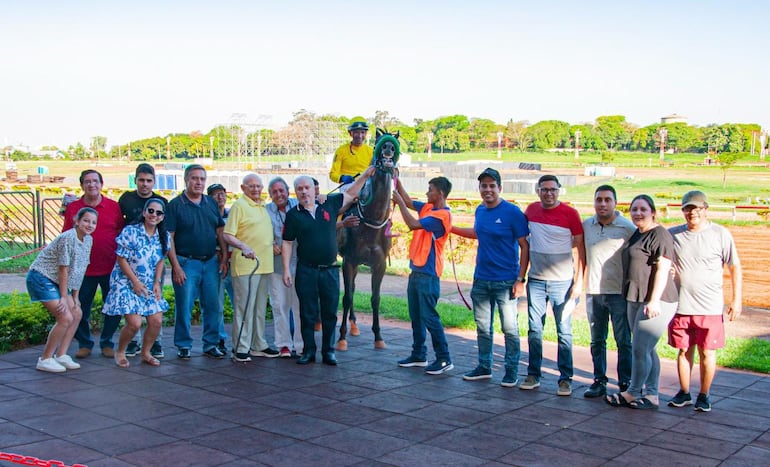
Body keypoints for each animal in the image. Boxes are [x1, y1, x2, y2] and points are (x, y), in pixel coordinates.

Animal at [334, 129, 400, 352]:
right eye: (379, 142)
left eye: (395, 142)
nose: (388, 148)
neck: (371, 221)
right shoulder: (349, 261)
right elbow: (346, 297)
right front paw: (341, 338)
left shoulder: (379, 265)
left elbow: (375, 298)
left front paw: (378, 337)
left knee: (353, 287)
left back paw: (354, 325)